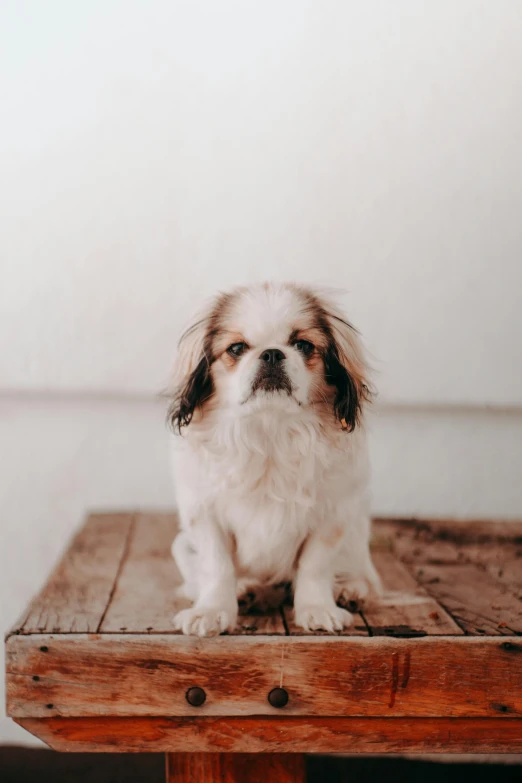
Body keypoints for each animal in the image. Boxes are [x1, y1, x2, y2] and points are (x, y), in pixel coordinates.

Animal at [169, 282, 380, 636]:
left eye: (303, 345)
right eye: (237, 348)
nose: (270, 353)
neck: (269, 431)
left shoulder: (333, 517)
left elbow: (314, 566)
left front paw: (317, 609)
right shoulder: (204, 516)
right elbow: (217, 568)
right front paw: (212, 611)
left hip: (354, 536)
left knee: (365, 576)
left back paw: (351, 590)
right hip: (182, 545)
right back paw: (247, 589)